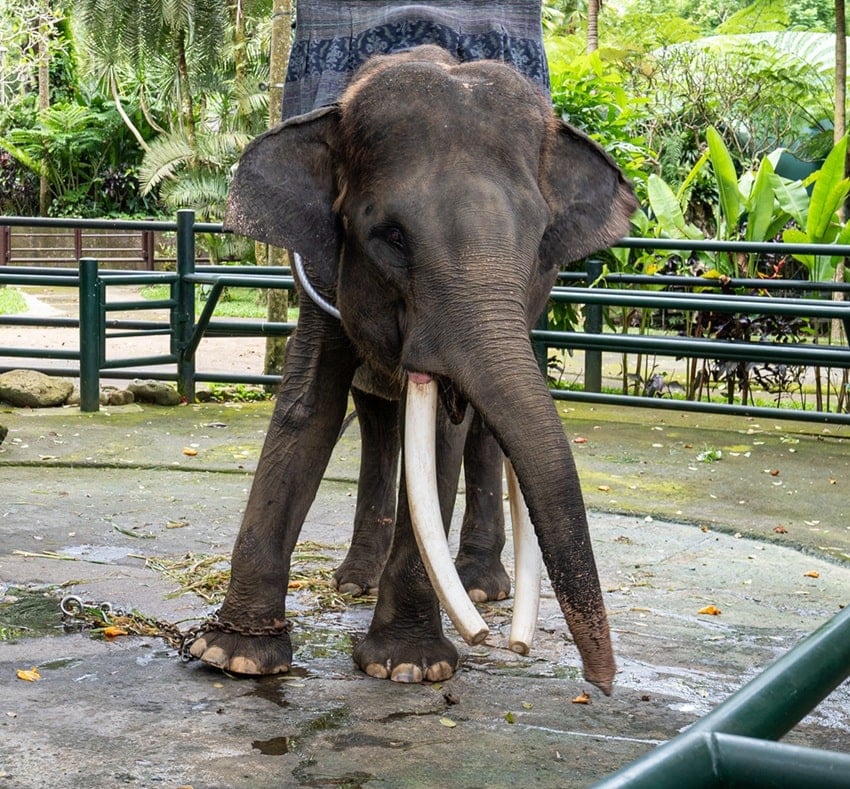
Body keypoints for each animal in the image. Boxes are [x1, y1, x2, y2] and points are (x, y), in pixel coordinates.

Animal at [189, 45, 636, 694]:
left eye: (537, 242)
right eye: (392, 237)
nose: (601, 682)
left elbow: (446, 436)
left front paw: (408, 667)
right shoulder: (324, 272)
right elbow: (307, 408)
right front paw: (234, 657)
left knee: (476, 432)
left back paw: (478, 586)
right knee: (379, 421)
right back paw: (357, 580)